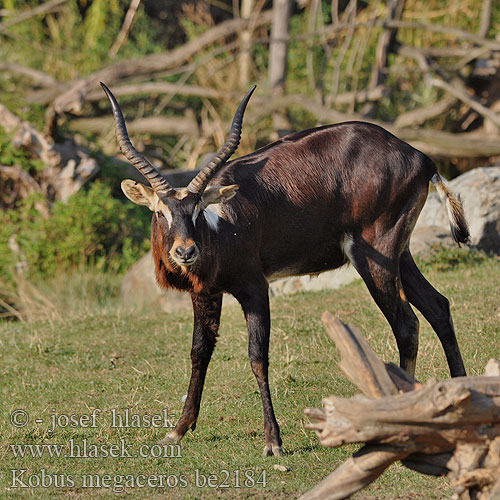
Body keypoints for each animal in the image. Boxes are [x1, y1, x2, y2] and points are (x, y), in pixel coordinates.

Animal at [101, 83, 468, 458]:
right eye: (161, 211)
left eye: (198, 209)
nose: (186, 251)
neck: (221, 226)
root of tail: (421, 158)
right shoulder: (205, 294)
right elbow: (199, 352)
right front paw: (178, 430)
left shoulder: (255, 289)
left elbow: (257, 356)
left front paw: (273, 441)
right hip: (399, 256)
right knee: (438, 306)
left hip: (373, 258)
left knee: (406, 324)